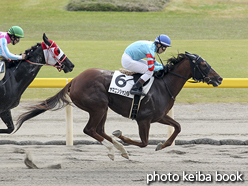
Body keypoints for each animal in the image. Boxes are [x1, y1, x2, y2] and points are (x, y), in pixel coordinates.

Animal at [17, 51, 223, 160]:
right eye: (203, 64)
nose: (219, 78)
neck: (163, 85)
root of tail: (74, 80)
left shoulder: (159, 116)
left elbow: (178, 127)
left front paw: (162, 145)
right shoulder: (143, 119)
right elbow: (143, 142)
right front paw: (123, 137)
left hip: (104, 108)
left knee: (99, 130)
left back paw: (117, 148)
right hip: (98, 106)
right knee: (90, 130)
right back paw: (113, 148)